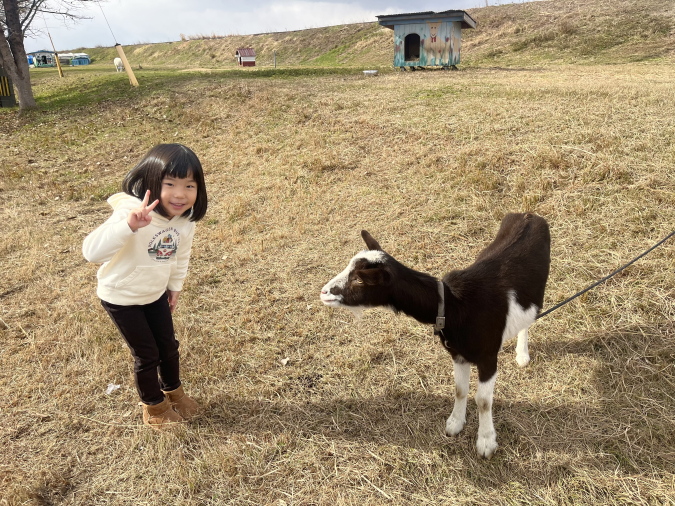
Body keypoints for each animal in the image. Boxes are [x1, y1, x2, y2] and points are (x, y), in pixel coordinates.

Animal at [320, 211, 552, 456]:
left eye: (359, 279)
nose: (324, 292)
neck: (453, 305)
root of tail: (529, 214)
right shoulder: (457, 353)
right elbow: (460, 390)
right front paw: (455, 424)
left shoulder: (488, 355)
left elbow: (483, 400)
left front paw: (486, 442)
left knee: (530, 316)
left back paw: (522, 355)